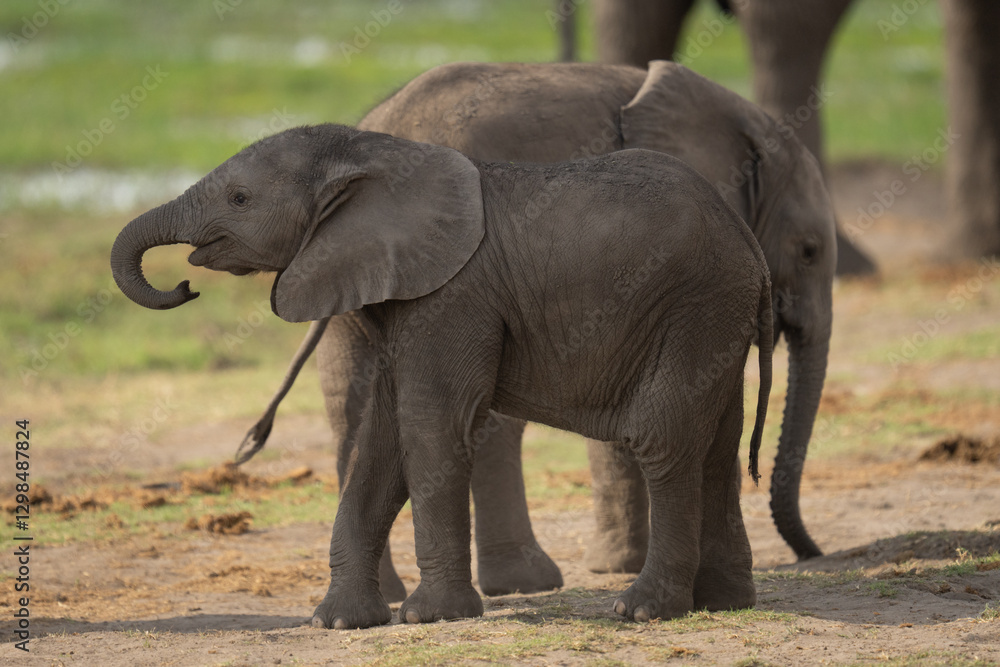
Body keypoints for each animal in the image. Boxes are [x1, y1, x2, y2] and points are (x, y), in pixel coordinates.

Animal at [110, 124, 775, 627]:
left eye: (240, 199)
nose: (184, 284)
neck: (368, 151)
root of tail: (750, 241)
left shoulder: (452, 296)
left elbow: (432, 425)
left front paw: (430, 616)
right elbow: (382, 443)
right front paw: (338, 621)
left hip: (694, 304)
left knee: (663, 439)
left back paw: (642, 610)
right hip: (715, 317)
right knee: (716, 446)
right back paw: (724, 602)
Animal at [238, 60, 835, 596]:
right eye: (809, 251)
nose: (812, 555)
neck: (744, 119)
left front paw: (619, 565)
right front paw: (621, 567)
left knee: (347, 401)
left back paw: (387, 596)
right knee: (480, 419)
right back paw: (522, 584)